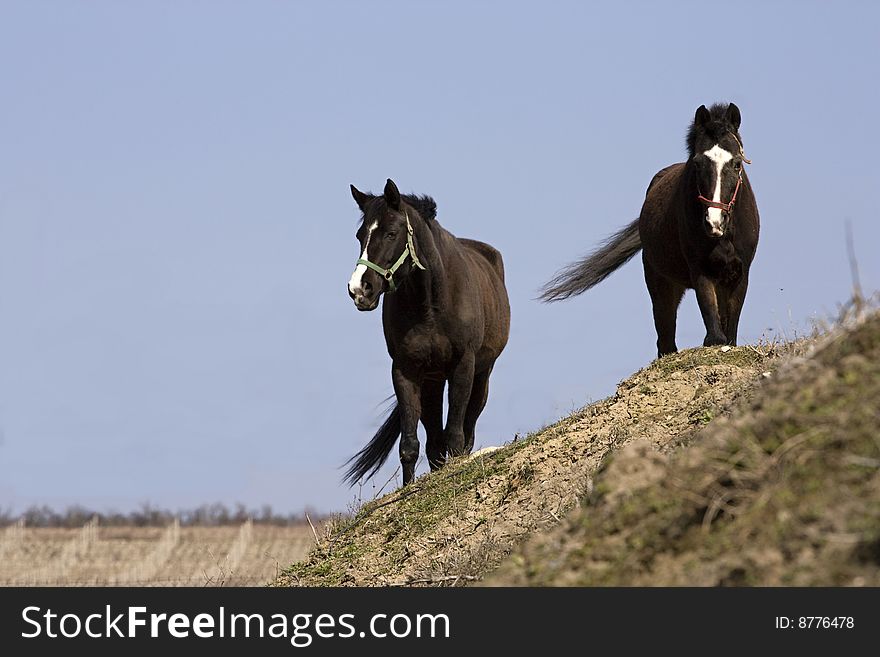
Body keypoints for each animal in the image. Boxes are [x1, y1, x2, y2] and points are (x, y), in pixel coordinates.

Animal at [344, 177, 508, 484]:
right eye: (360, 235)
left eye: (391, 233)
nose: (359, 289)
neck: (430, 306)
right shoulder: (406, 370)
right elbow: (410, 445)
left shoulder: (463, 366)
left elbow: (455, 438)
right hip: (432, 381)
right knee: (434, 443)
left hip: (481, 376)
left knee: (466, 432)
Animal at [540, 103, 760, 358]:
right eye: (697, 163)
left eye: (736, 163)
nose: (714, 222)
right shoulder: (700, 270)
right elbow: (714, 332)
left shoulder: (740, 272)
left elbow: (730, 330)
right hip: (661, 284)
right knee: (665, 340)